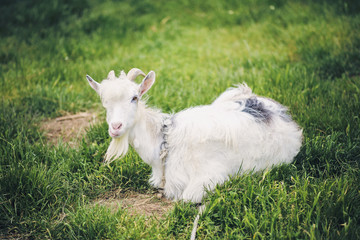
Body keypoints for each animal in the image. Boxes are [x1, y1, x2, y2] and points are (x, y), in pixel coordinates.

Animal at [86, 68, 302, 203]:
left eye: (134, 97)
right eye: (104, 102)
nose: (116, 127)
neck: (166, 142)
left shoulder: (210, 176)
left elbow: (186, 199)